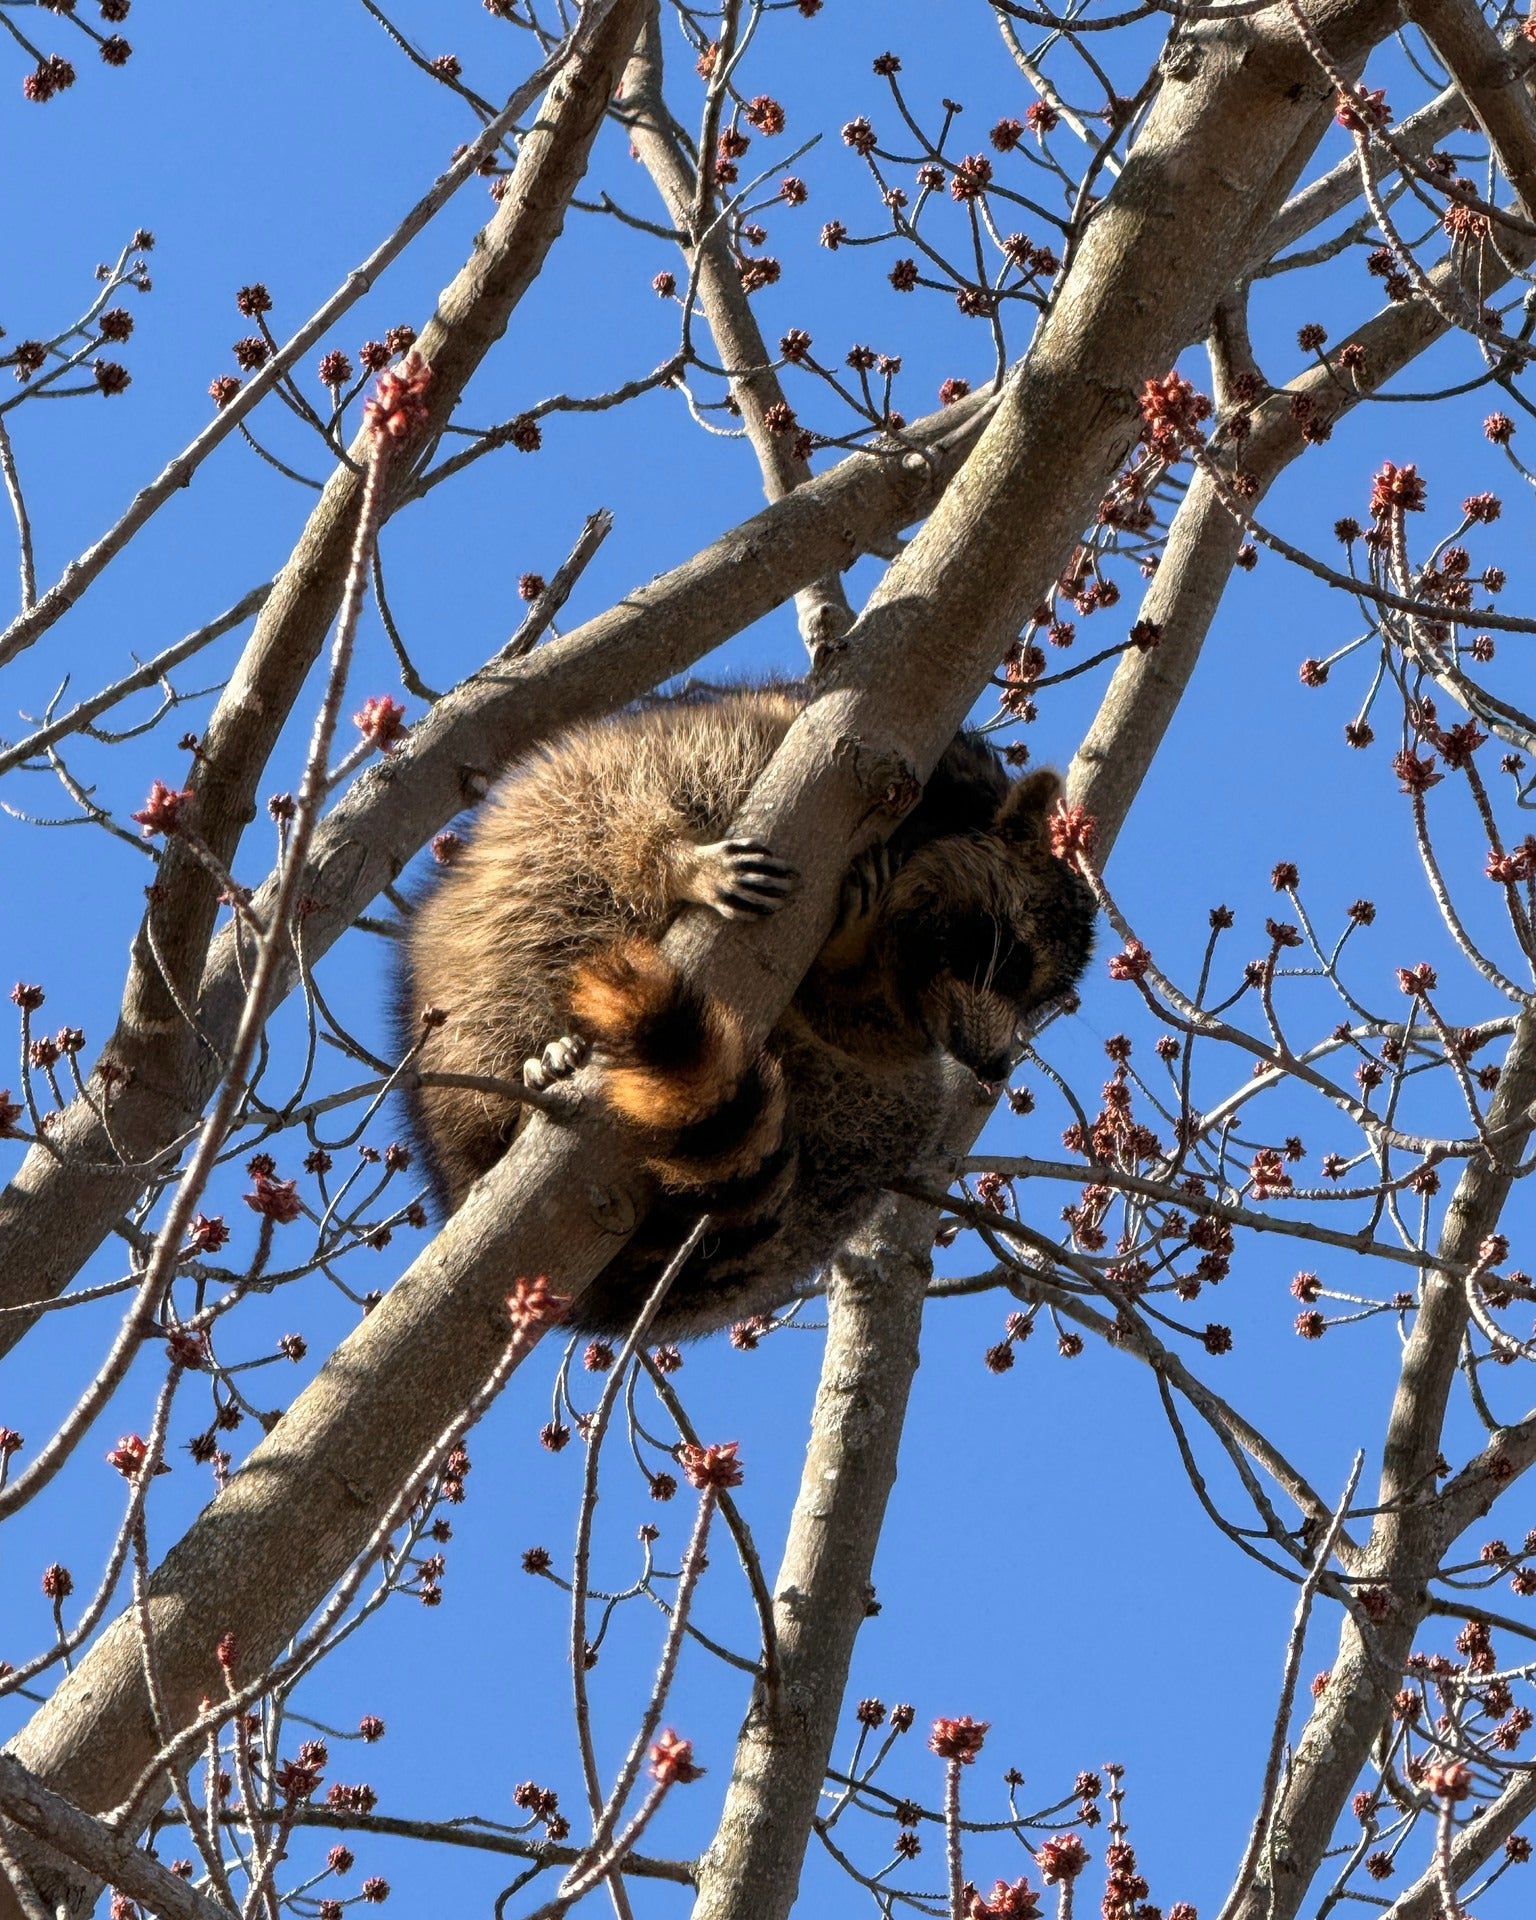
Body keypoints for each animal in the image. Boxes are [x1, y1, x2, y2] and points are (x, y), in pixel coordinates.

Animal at [396, 684, 1094, 1336]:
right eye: (1012, 962)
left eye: (1037, 1002)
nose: (998, 1067)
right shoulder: (759, 749)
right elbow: (621, 805)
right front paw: (678, 861)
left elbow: (863, 1027)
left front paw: (845, 961)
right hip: (474, 976)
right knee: (529, 939)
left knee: (897, 1097)